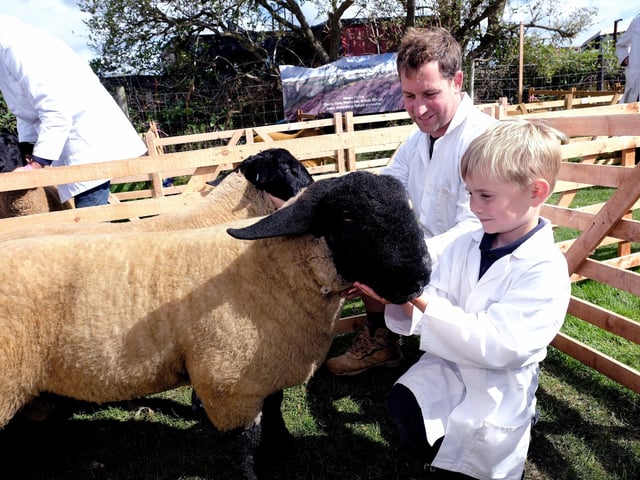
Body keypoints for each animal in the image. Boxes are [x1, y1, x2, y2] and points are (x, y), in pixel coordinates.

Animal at [0, 170, 431, 479]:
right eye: (346, 216)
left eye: (410, 210)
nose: (421, 278)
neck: (268, 270)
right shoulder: (228, 384)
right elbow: (243, 445)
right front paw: (255, 472)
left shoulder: (263, 371)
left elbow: (274, 411)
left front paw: (282, 450)